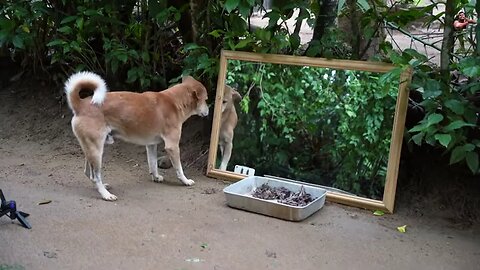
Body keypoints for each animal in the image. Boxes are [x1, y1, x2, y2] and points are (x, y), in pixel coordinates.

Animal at [63, 71, 208, 200]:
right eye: (206, 99)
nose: (208, 109)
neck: (174, 102)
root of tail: (81, 105)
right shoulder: (172, 146)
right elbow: (179, 168)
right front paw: (185, 181)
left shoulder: (151, 145)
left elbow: (153, 163)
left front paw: (156, 177)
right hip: (96, 150)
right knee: (95, 176)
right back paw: (106, 195)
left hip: (91, 149)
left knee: (88, 172)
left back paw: (103, 187)